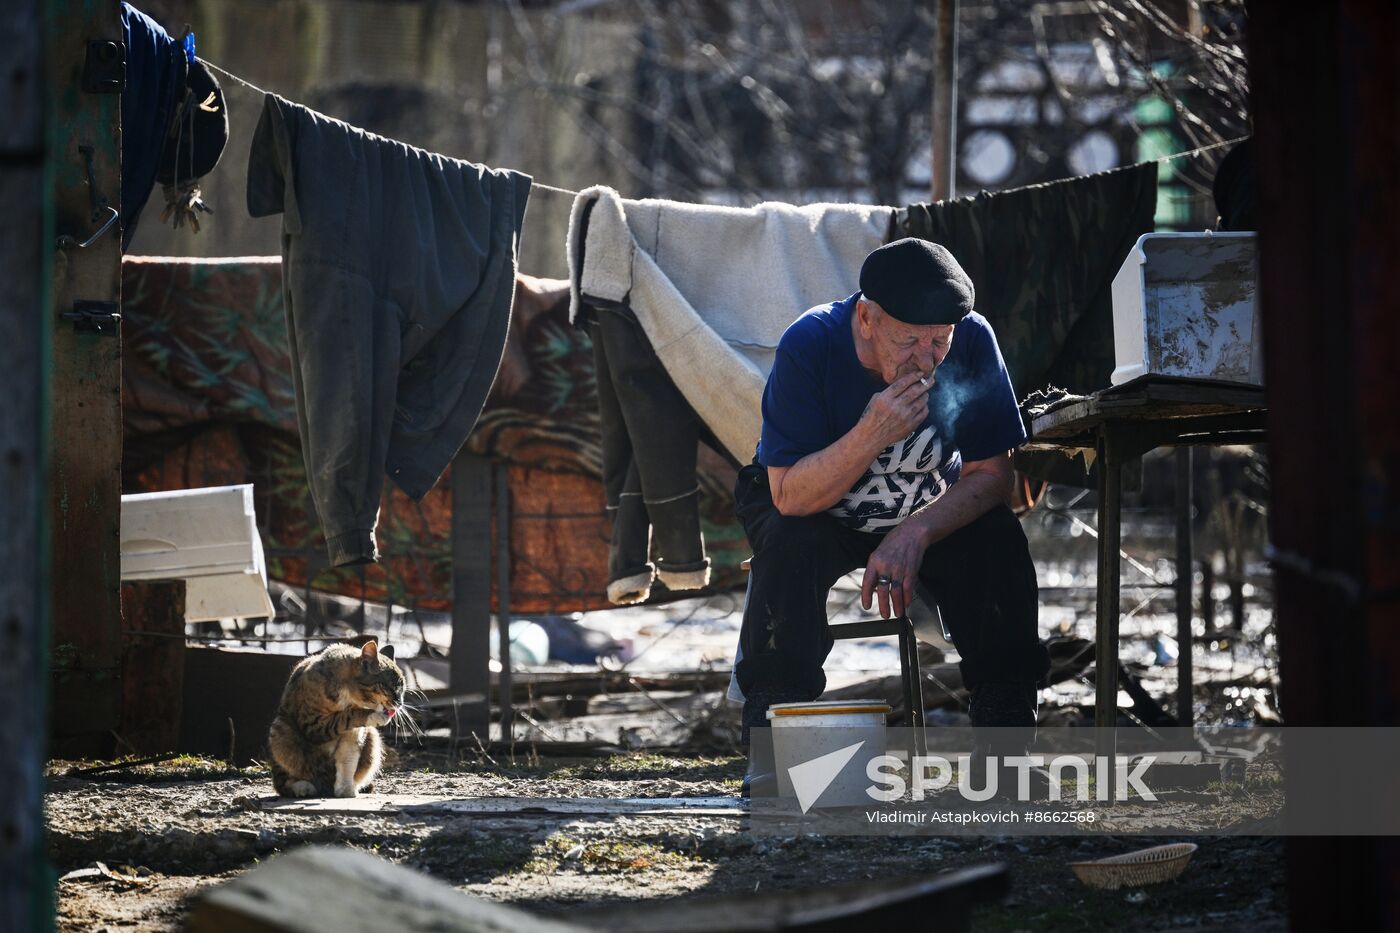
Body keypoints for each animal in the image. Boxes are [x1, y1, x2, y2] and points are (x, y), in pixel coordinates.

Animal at [267, 636, 403, 795]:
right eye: (391, 688)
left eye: (403, 689)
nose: (400, 703)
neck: (349, 695)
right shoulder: (313, 724)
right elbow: (344, 716)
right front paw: (374, 715)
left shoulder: (355, 734)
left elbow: (348, 760)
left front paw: (346, 791)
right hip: (280, 730)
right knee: (282, 781)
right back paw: (303, 787)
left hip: (372, 736)